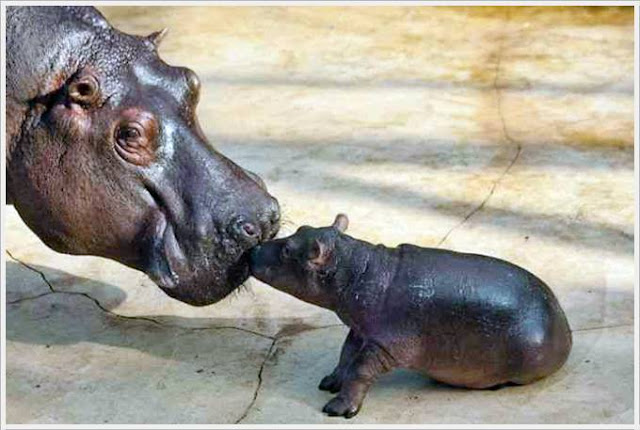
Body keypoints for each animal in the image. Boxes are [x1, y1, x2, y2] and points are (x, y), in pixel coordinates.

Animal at [248, 214, 572, 416]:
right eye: (301, 228)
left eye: (288, 250)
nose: (254, 249)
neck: (356, 270)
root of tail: (565, 326)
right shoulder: (361, 329)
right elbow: (346, 354)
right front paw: (329, 382)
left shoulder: (386, 344)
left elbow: (360, 368)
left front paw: (337, 409)